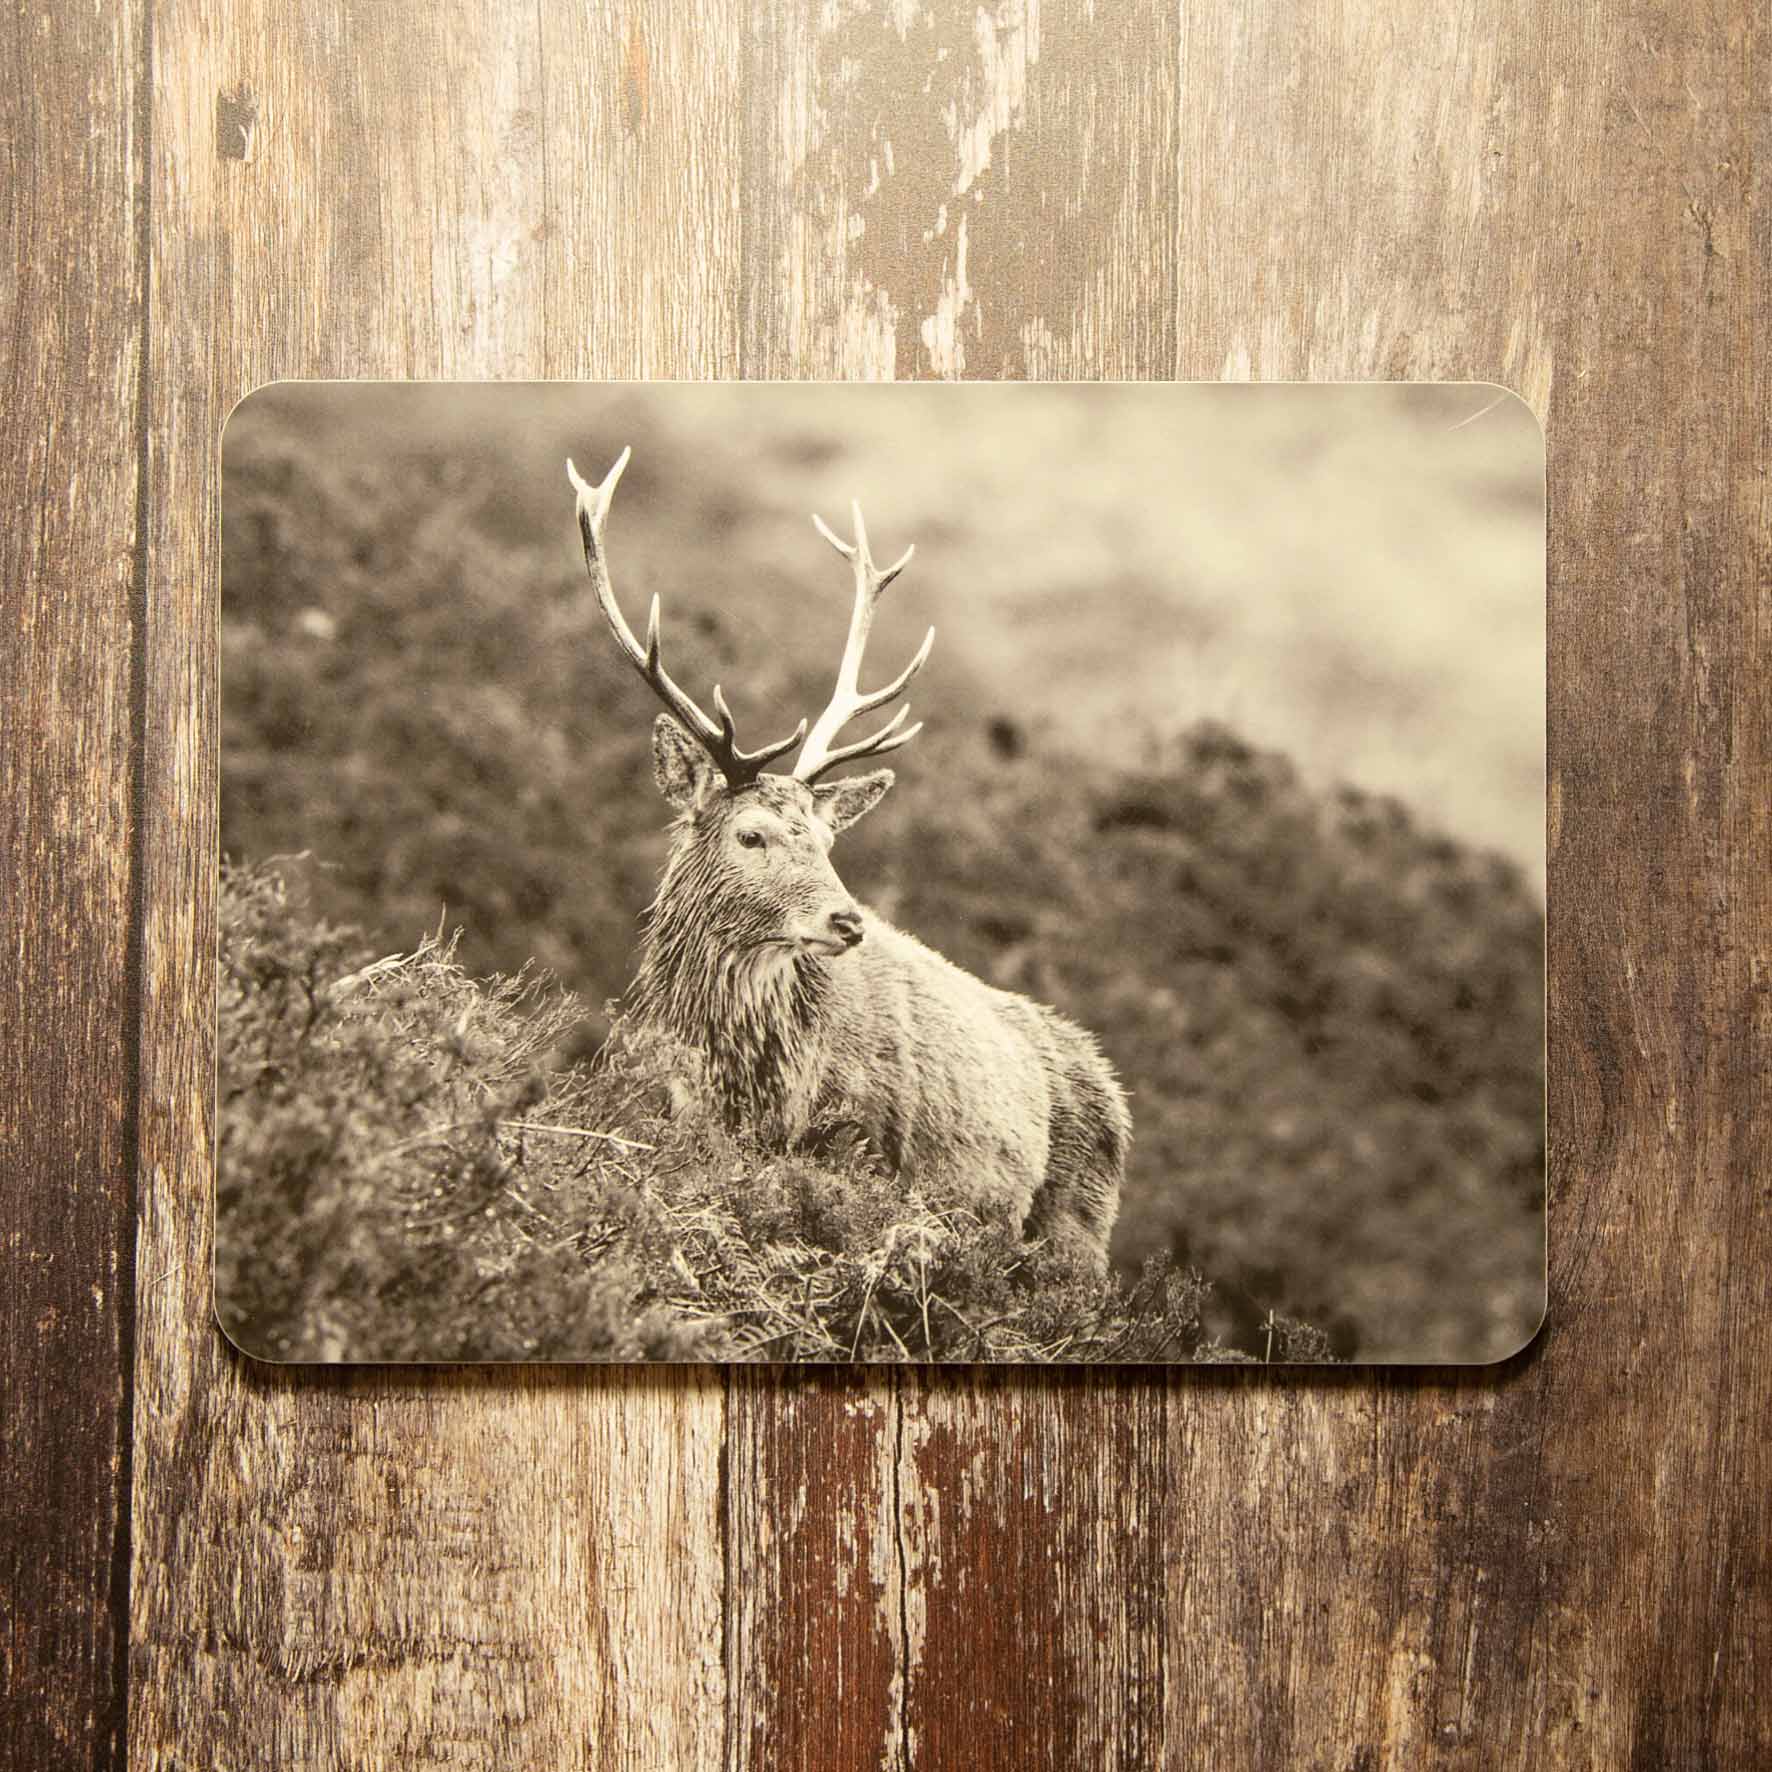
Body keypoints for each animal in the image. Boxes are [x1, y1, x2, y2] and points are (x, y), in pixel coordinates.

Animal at [566, 447, 1129, 1278]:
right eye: (753, 836)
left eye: (827, 843)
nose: (848, 921)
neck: (752, 1080)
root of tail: (1118, 1094)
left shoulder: (862, 1137)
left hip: (1081, 1222)